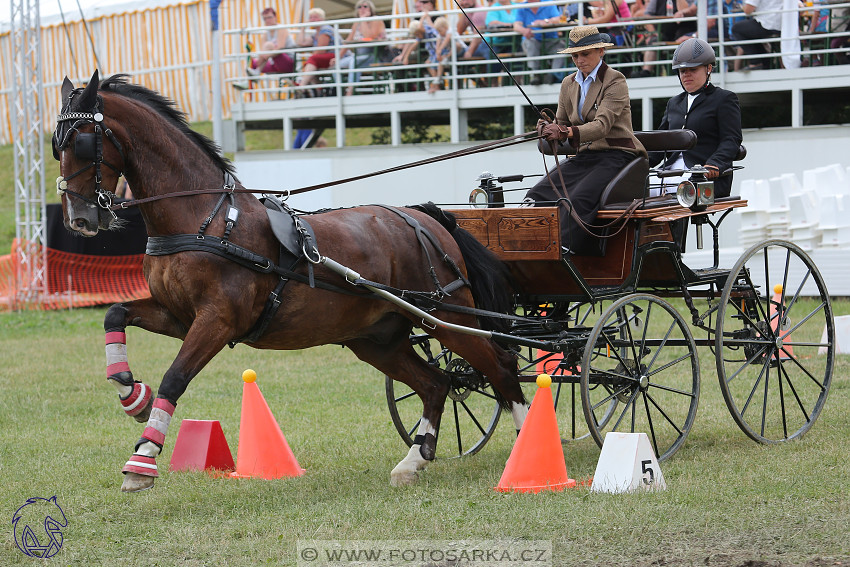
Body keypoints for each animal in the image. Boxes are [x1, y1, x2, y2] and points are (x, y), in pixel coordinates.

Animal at [51, 72, 524, 492]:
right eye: (57, 145)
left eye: (82, 141)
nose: (78, 220)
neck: (207, 219)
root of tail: (427, 218)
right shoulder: (179, 315)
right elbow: (115, 314)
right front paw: (131, 393)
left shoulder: (217, 320)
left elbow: (174, 377)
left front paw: (143, 460)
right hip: (377, 339)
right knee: (437, 383)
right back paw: (413, 461)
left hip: (446, 317)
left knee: (501, 365)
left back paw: (526, 442)